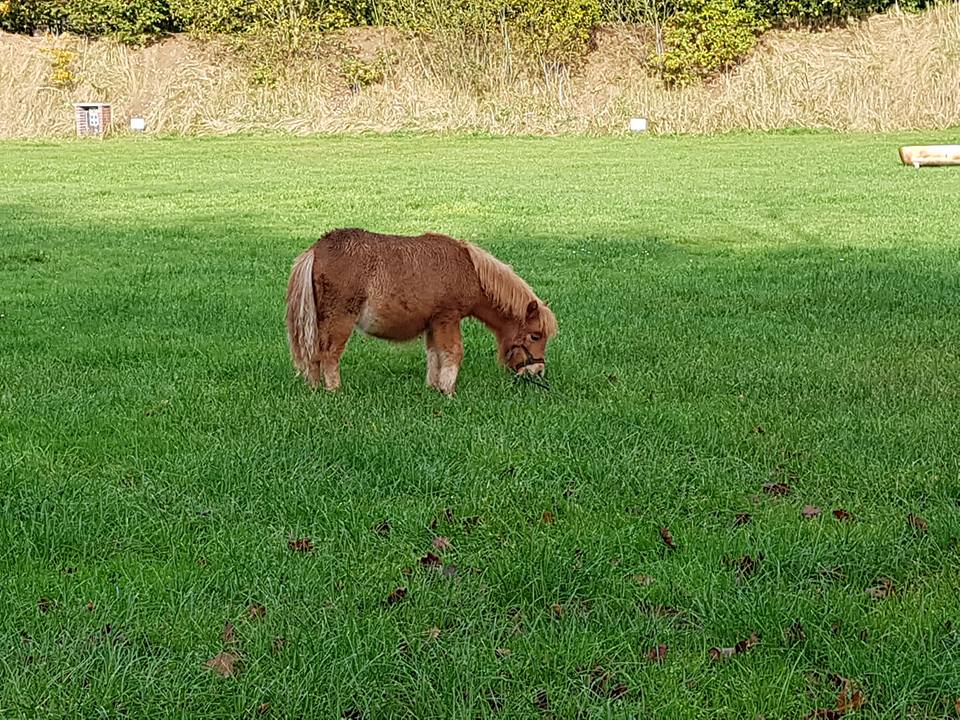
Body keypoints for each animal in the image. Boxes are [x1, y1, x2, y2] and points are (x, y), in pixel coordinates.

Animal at [285, 228, 557, 395]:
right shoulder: (448, 318)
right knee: (330, 354)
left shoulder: (433, 323)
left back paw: (315, 388)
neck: (469, 268)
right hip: (339, 320)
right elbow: (453, 352)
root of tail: (315, 250)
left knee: (314, 354)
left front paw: (433, 387)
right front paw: (448, 391)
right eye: (535, 335)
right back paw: (334, 391)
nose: (537, 372)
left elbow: (434, 354)